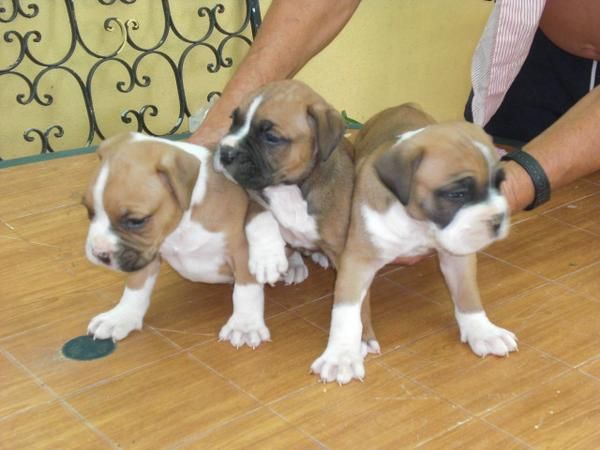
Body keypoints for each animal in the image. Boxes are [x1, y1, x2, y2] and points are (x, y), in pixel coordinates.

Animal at [82, 131, 304, 348]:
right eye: (89, 211)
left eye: (136, 221)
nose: (99, 254)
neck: (182, 224)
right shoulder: (147, 254)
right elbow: (136, 287)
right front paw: (121, 317)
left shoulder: (242, 252)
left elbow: (246, 291)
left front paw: (244, 325)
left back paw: (294, 265)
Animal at [212, 80, 380, 356]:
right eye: (234, 121)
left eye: (271, 137)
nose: (225, 152)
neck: (291, 187)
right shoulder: (253, 197)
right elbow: (262, 219)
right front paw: (267, 259)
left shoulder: (352, 254)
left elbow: (359, 298)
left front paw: (363, 337)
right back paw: (293, 263)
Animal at [312, 104, 516, 384]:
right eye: (457, 194)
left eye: (499, 184)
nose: (497, 220)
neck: (419, 223)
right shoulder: (357, 261)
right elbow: (346, 311)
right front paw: (341, 356)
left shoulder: (458, 255)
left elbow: (467, 293)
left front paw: (483, 331)